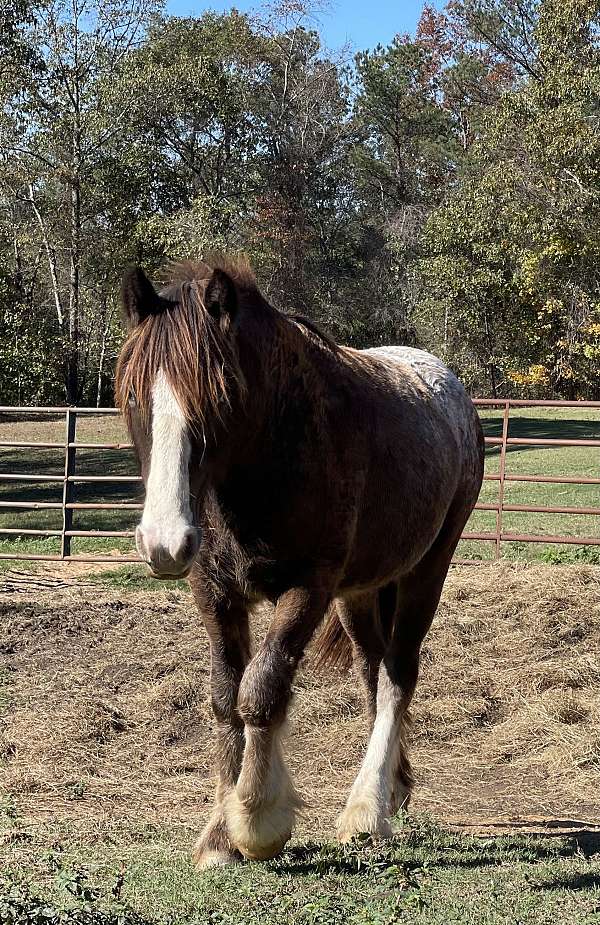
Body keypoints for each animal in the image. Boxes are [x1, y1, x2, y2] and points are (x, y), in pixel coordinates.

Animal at [115, 253, 486, 868]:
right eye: (133, 398)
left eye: (220, 399)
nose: (164, 542)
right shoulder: (215, 593)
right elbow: (225, 698)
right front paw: (219, 833)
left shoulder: (308, 589)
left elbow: (261, 691)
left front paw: (256, 821)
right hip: (361, 591)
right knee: (372, 669)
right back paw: (394, 786)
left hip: (425, 570)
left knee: (399, 673)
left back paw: (367, 810)